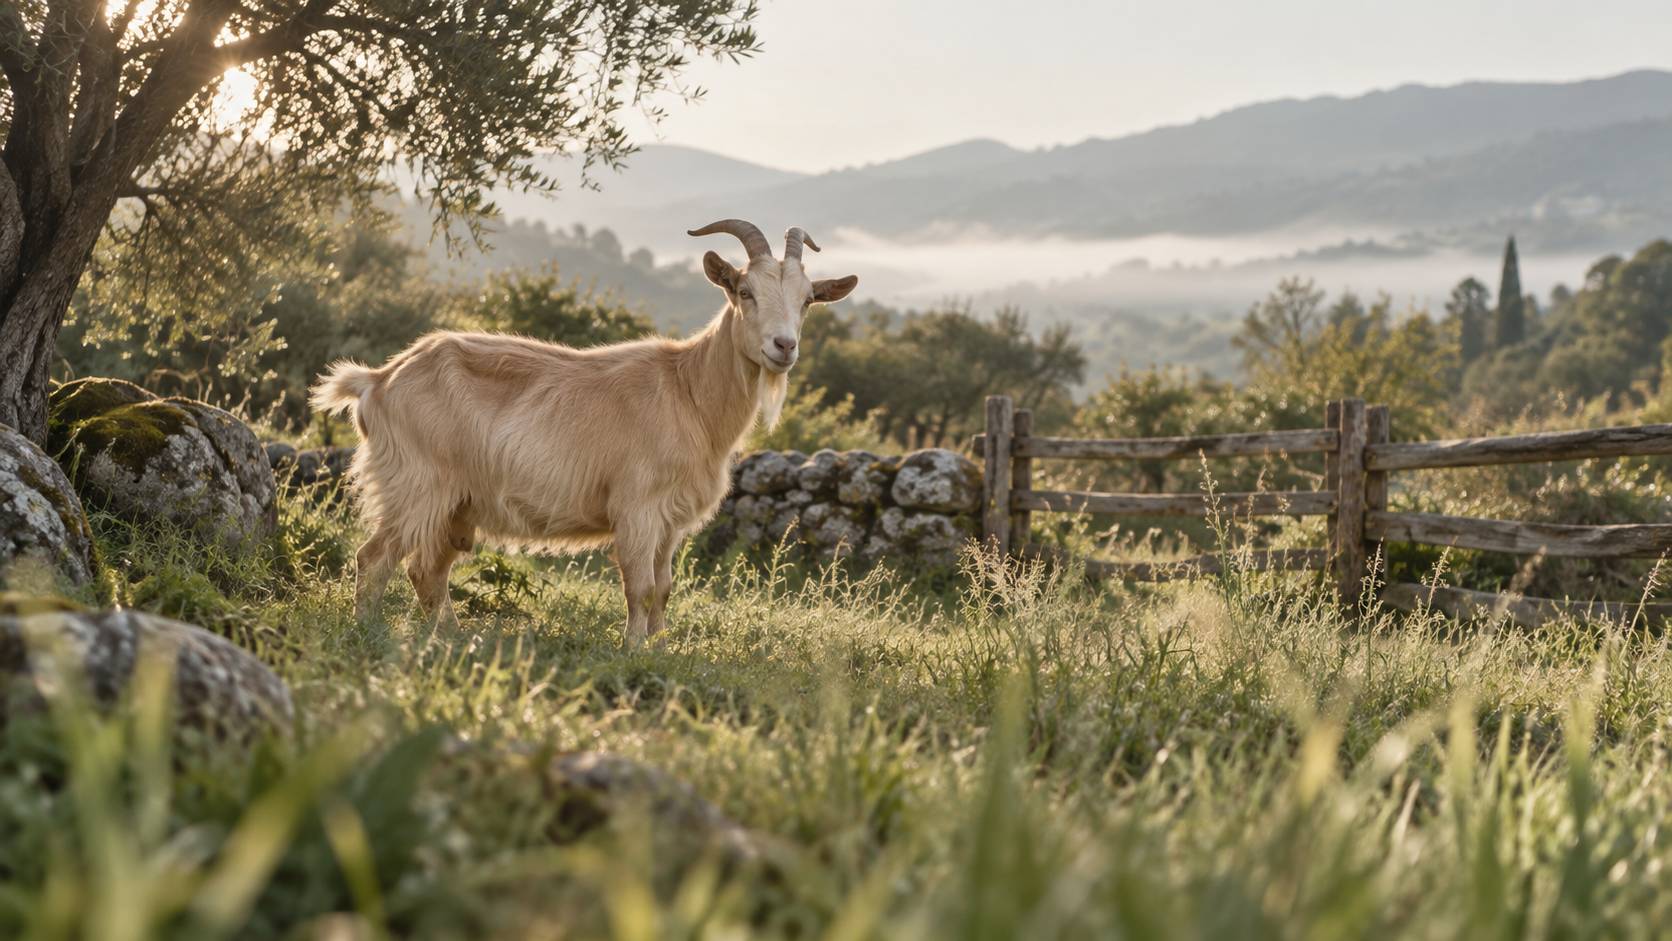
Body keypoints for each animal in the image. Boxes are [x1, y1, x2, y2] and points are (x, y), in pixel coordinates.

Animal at [310, 220, 858, 644]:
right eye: (745, 292)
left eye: (807, 301)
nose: (783, 346)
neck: (689, 393)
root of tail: (378, 381)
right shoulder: (637, 508)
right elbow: (639, 587)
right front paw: (632, 651)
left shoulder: (671, 521)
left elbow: (664, 588)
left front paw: (661, 650)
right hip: (418, 484)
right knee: (375, 558)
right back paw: (368, 632)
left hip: (456, 502)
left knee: (427, 571)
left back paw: (451, 637)